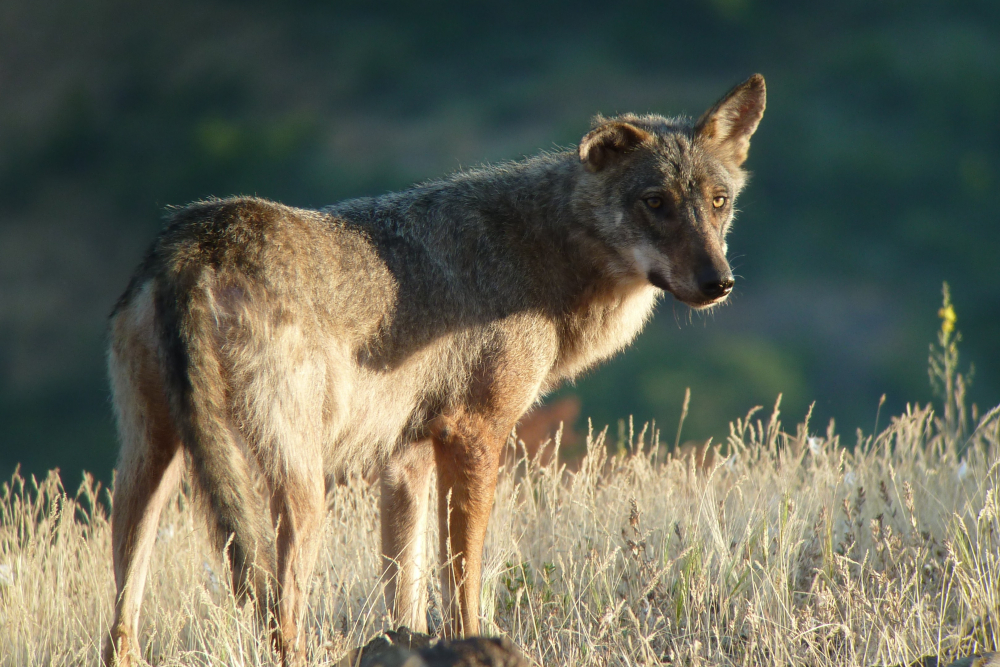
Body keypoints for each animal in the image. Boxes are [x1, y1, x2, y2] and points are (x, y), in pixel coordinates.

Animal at [103, 74, 765, 666]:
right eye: (655, 203)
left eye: (718, 203)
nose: (719, 282)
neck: (542, 255)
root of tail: (196, 238)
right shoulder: (474, 435)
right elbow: (463, 583)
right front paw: (472, 644)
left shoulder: (407, 458)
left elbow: (406, 589)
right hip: (301, 491)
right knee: (280, 619)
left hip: (151, 469)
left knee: (119, 626)